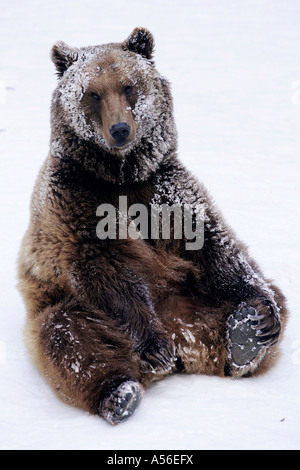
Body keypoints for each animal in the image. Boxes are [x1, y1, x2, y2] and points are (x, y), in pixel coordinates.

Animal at [17, 28, 288, 426]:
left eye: (128, 86)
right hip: (70, 308)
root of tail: (186, 344)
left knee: (274, 296)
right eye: (92, 93)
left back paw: (244, 336)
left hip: (195, 300)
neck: (121, 173)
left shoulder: (167, 189)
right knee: (70, 338)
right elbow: (106, 266)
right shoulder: (72, 198)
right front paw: (153, 345)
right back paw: (120, 392)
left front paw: (263, 314)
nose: (119, 129)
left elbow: (214, 244)